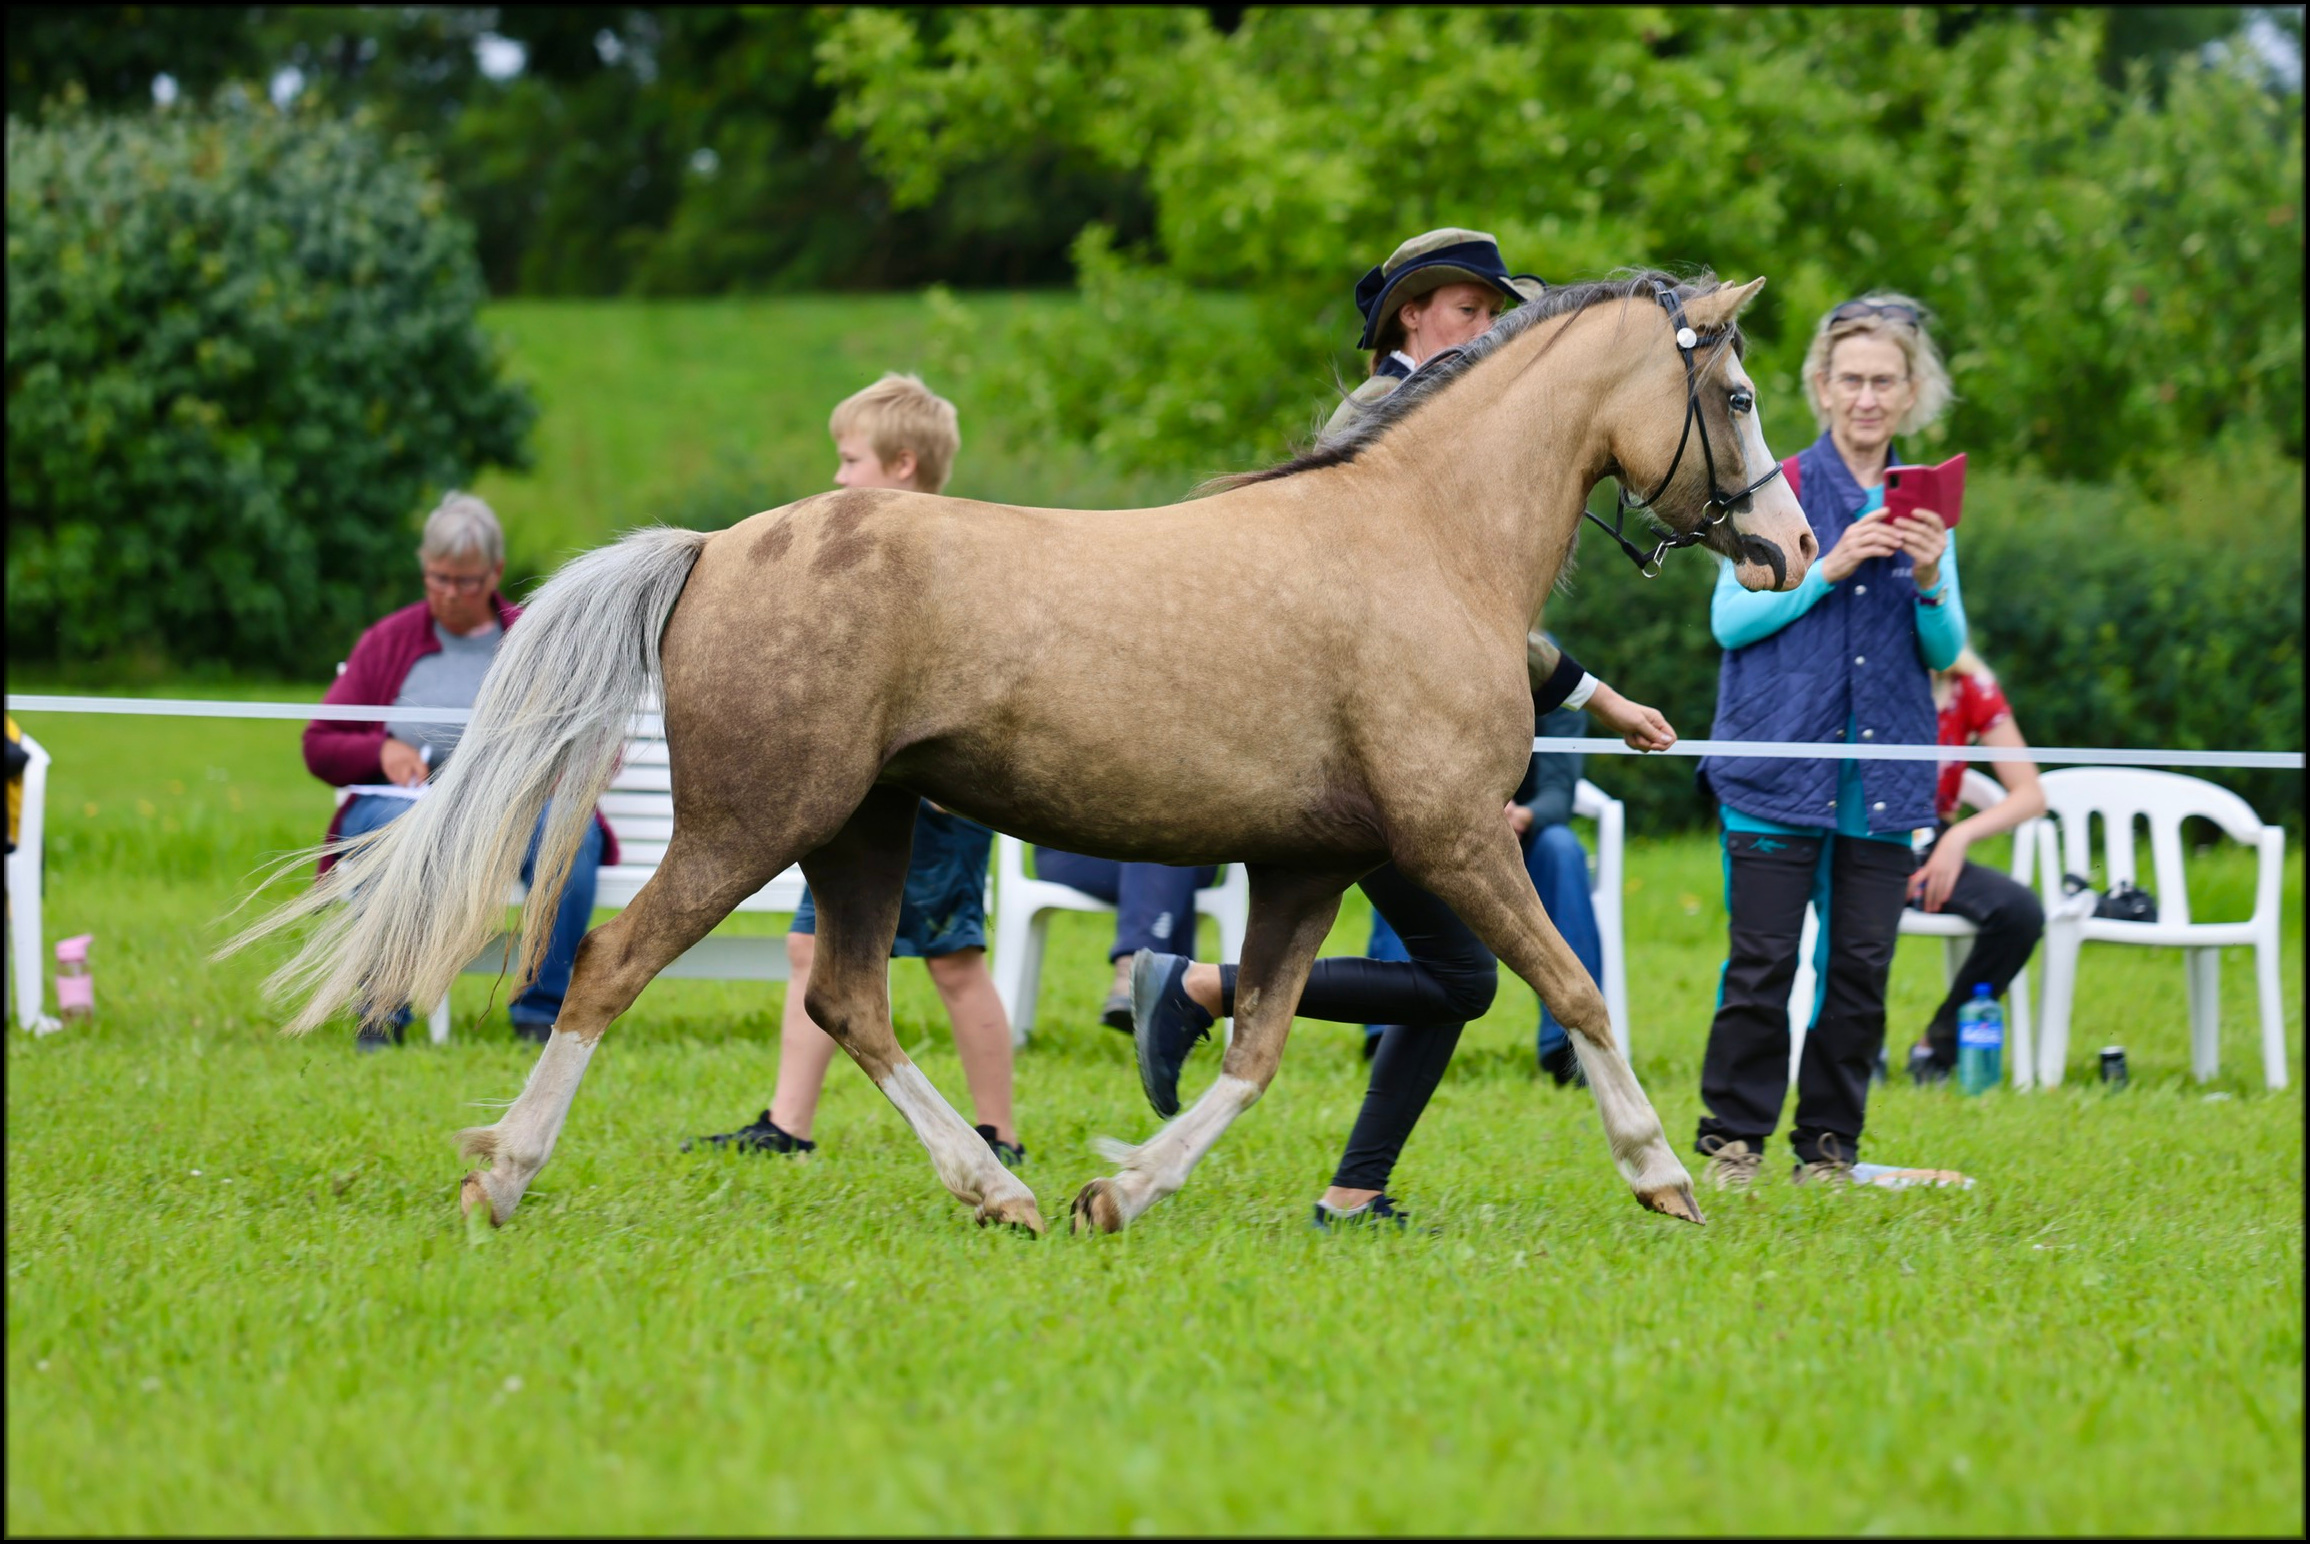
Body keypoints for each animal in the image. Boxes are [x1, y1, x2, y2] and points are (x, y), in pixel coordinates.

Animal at [234, 271, 1820, 1238]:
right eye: (1740, 396)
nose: (1791, 544)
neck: (1428, 539)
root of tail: (715, 549)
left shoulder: (1312, 864)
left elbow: (1252, 1044)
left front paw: (1119, 1190)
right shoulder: (1450, 838)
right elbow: (1574, 990)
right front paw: (1663, 1176)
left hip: (863, 830)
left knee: (850, 1002)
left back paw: (992, 1192)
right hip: (757, 823)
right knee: (616, 966)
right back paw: (503, 1175)